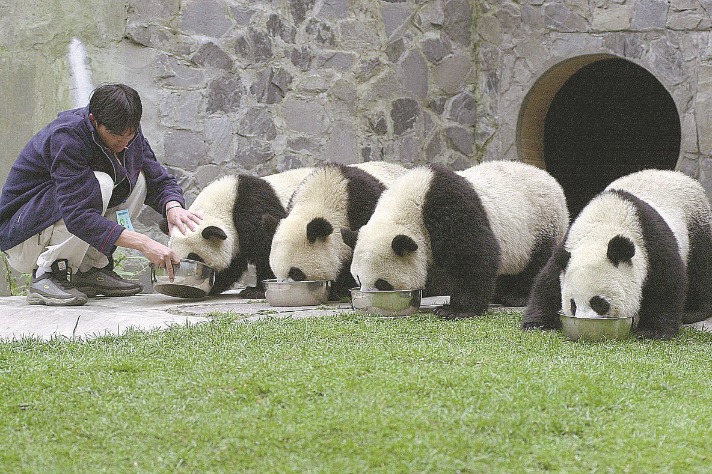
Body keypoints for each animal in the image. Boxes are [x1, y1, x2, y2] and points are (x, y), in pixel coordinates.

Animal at [350, 160, 568, 318]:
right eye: (358, 279)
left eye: (382, 284)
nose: (365, 300)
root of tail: (552, 181)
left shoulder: (448, 206)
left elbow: (473, 257)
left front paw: (453, 310)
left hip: (540, 225)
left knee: (535, 263)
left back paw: (516, 296)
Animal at [524, 168, 712, 338]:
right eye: (573, 304)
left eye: (599, 303)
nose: (584, 321)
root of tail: (676, 174)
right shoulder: (568, 246)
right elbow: (547, 282)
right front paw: (536, 323)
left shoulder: (651, 241)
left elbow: (666, 285)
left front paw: (653, 332)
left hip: (696, 224)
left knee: (700, 270)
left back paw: (692, 312)